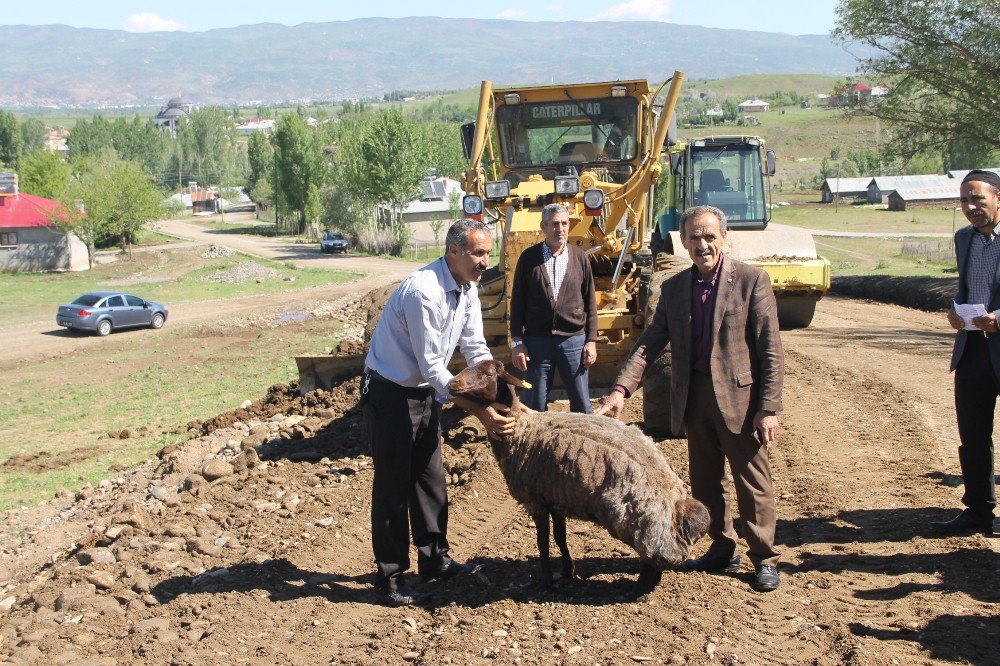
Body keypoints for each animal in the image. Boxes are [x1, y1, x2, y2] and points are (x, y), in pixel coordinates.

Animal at [446, 358, 712, 592]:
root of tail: (675, 500)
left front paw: (546, 582)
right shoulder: (556, 500)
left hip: (637, 521)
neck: (521, 430)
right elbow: (560, 537)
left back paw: (638, 588)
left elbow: (543, 543)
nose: (452, 383)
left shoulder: (536, 502)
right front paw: (567, 571)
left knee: (652, 556)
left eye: (489, 374)